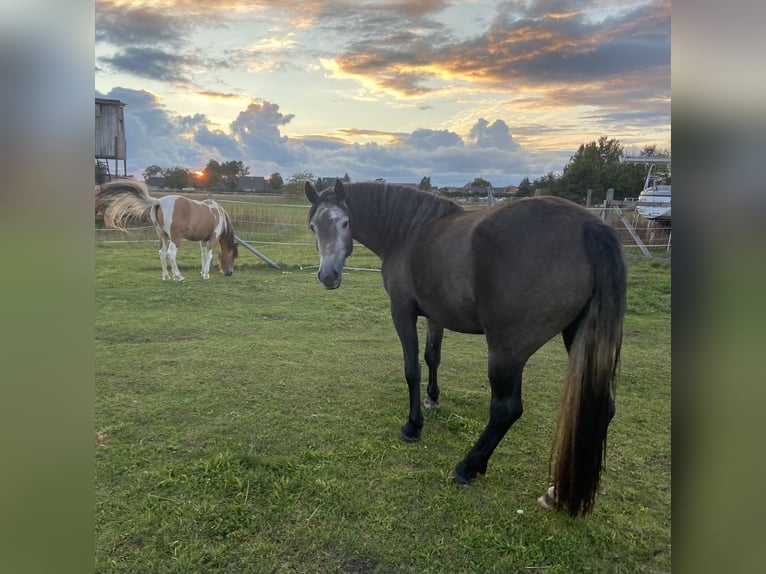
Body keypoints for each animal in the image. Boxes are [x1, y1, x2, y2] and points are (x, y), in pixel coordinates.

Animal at [97, 178, 238, 282]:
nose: (229, 273)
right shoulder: (214, 238)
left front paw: (203, 272)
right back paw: (179, 277)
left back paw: (166, 276)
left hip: (162, 235)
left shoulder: (203, 240)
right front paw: (207, 275)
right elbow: (209, 255)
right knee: (171, 254)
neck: (217, 212)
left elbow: (203, 255)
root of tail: (158, 201)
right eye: (233, 255)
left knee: (162, 253)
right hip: (175, 237)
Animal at [308, 181, 632, 516]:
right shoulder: (435, 315)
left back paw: (468, 467)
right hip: (578, 337)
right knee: (604, 407)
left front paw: (413, 426)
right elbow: (433, 357)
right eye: (313, 226)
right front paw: (433, 399)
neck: (408, 232)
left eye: (344, 223)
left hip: (506, 352)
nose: (328, 276)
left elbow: (412, 369)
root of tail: (590, 227)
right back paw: (557, 493)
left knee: (506, 410)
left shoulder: (402, 311)